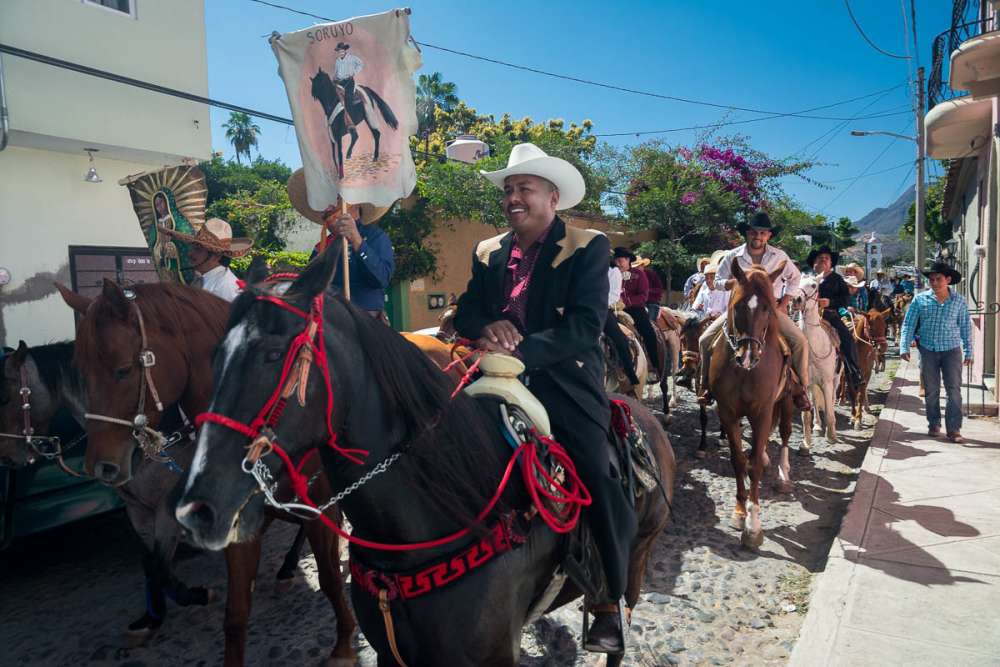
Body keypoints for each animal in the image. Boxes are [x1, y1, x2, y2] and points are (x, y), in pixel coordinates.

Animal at [56, 282, 358, 667]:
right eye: (81, 373)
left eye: (122, 370)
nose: (101, 465)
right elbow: (234, 612)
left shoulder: (319, 507)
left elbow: (330, 578)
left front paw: (344, 643)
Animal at [176, 250, 676, 667]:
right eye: (215, 357)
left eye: (273, 353)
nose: (195, 511)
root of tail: (641, 417)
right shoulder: (393, 655)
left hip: (637, 560)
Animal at [708, 260, 792, 548]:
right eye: (738, 305)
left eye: (768, 307)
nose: (748, 356)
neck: (745, 372)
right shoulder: (728, 412)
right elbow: (739, 460)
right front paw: (739, 512)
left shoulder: (762, 413)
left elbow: (753, 464)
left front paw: (753, 527)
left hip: (787, 401)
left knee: (785, 434)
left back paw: (783, 475)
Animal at [796, 276, 844, 454]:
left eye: (814, 285)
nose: (796, 299)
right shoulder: (804, 383)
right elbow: (805, 415)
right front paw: (806, 442)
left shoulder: (827, 381)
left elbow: (829, 409)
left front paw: (831, 436)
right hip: (812, 385)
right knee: (816, 402)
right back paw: (817, 426)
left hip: (836, 379)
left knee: (831, 400)